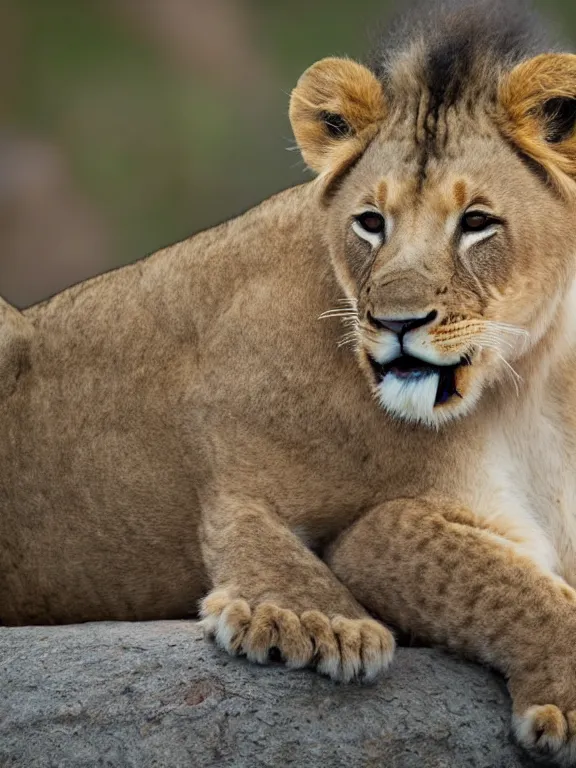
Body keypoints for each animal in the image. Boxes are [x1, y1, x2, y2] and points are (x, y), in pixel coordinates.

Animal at [2, 0, 576, 760]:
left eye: (477, 222)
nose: (395, 322)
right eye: (371, 223)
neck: (528, 381)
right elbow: (513, 584)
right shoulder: (372, 528)